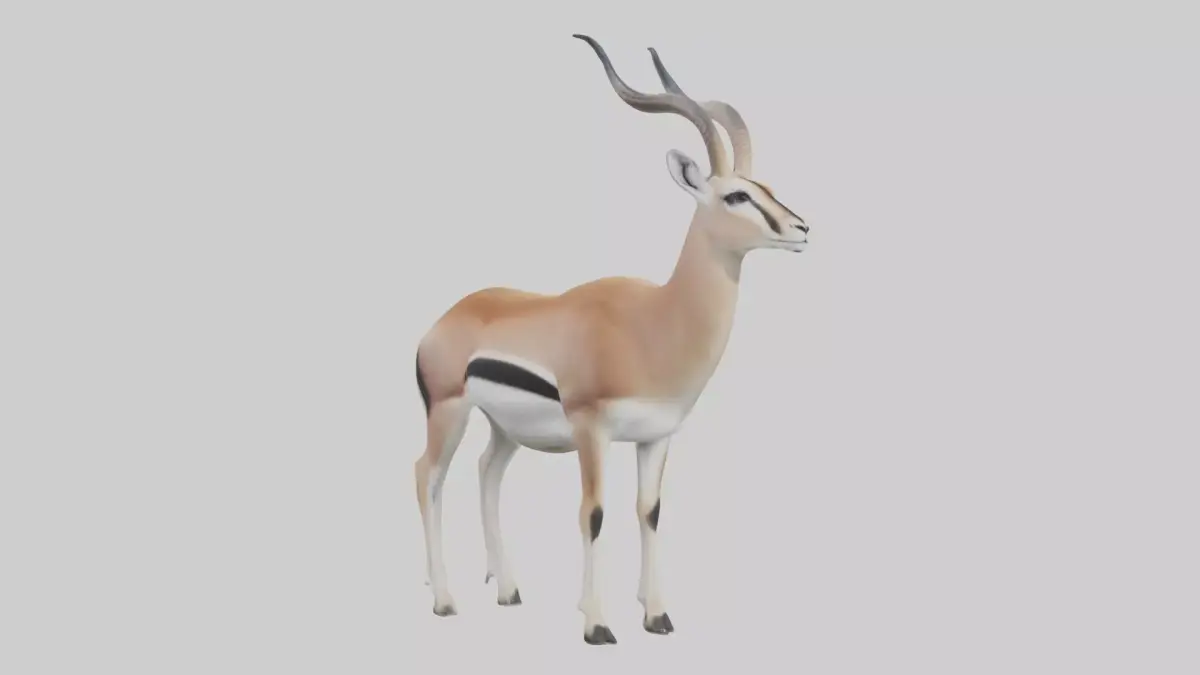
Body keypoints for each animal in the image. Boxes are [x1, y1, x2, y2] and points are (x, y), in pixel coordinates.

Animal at [413, 34, 809, 645]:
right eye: (736, 196)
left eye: (764, 187)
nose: (801, 229)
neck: (654, 323)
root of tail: (447, 318)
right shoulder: (591, 430)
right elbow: (593, 513)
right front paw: (597, 625)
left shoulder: (656, 436)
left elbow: (650, 511)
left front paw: (657, 615)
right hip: (448, 415)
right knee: (427, 478)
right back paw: (445, 601)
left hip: (504, 429)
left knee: (486, 473)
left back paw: (508, 590)